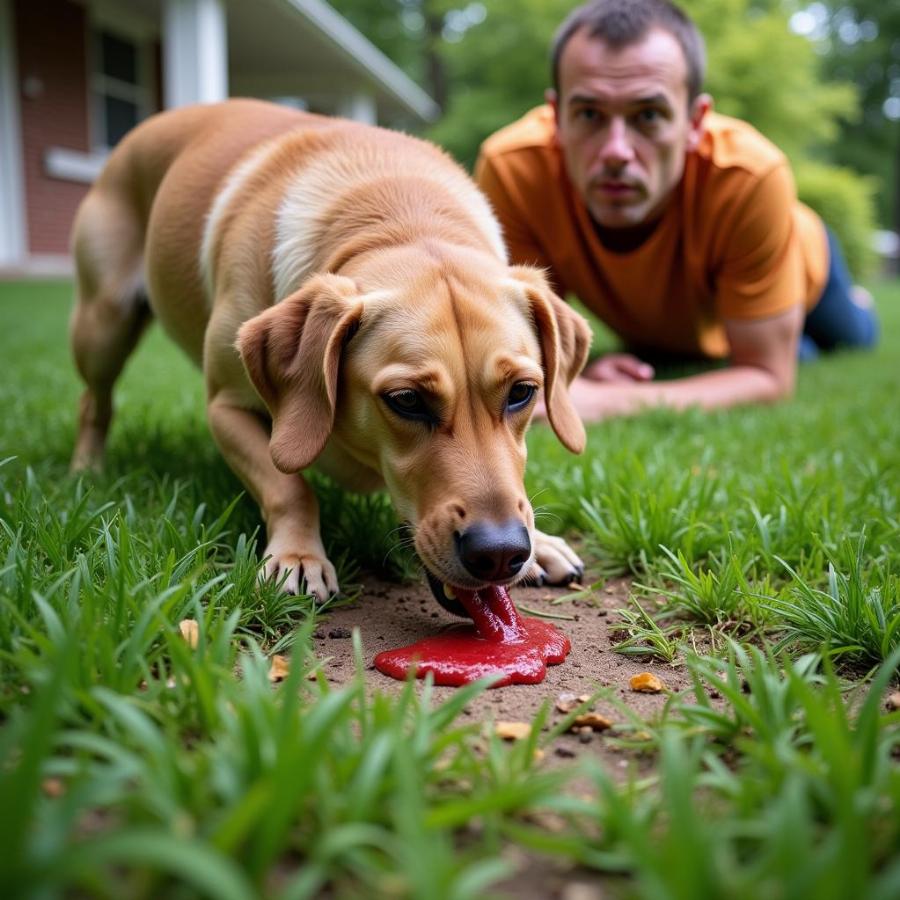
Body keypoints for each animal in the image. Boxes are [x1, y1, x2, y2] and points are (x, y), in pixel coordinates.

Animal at [70, 98, 592, 604]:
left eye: (522, 393)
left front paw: (543, 543)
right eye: (406, 400)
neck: (400, 217)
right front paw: (299, 556)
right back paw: (86, 471)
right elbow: (290, 486)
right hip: (104, 325)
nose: (502, 553)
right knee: (94, 402)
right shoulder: (225, 408)